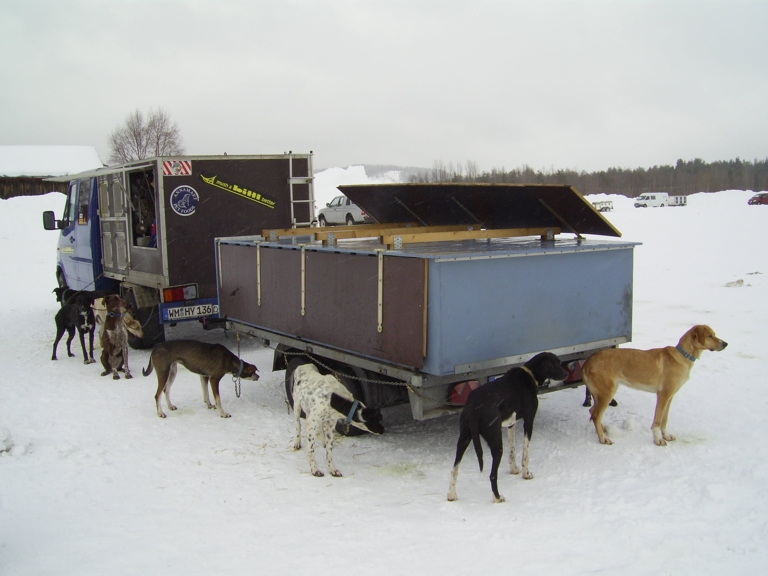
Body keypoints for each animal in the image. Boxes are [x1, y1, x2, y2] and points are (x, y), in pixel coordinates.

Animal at [447, 352, 568, 503]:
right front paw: (526, 474)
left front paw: (514, 469)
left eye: (559, 362)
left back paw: (452, 495)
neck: (529, 375)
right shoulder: (529, 421)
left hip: (464, 439)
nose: (565, 374)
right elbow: (525, 454)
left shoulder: (511, 424)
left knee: (454, 469)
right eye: (551, 364)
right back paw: (498, 497)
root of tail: (473, 406)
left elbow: (512, 451)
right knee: (492, 475)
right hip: (496, 443)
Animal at [582, 325, 728, 446]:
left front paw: (666, 435)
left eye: (713, 335)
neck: (683, 356)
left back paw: (603, 428)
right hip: (607, 393)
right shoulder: (663, 395)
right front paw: (658, 439)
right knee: (596, 416)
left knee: (593, 412)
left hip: (600, 394)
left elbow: (665, 419)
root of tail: (588, 363)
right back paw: (603, 438)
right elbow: (657, 421)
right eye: (710, 336)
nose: (726, 344)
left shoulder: (670, 397)